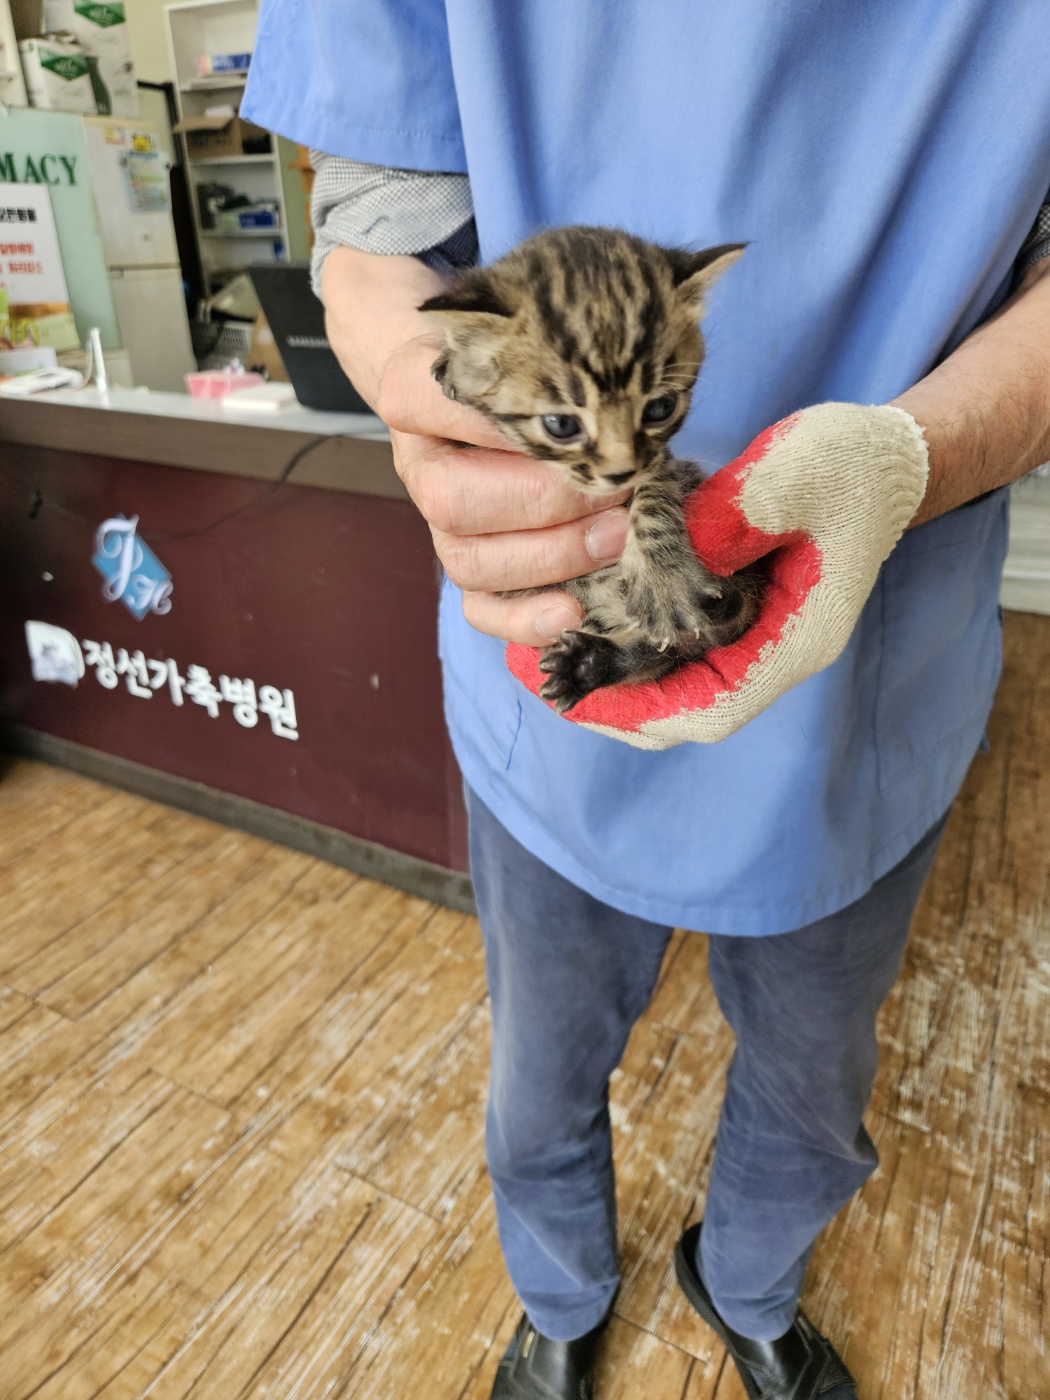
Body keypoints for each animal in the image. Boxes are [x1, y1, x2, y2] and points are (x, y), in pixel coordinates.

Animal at [422, 231, 761, 716]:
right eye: (561, 424)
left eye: (659, 408)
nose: (620, 473)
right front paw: (454, 361)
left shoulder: (658, 460)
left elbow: (654, 500)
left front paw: (663, 578)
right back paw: (588, 663)